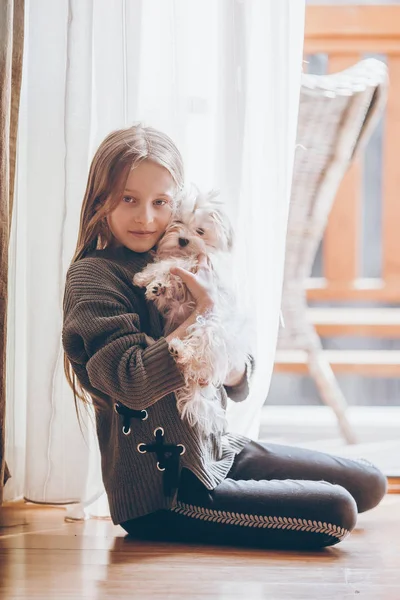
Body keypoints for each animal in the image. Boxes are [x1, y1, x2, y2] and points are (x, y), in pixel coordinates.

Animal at [134, 191, 253, 436]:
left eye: (200, 231)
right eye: (178, 222)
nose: (183, 240)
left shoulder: (194, 264)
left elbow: (172, 264)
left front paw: (150, 278)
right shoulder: (178, 299)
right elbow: (167, 276)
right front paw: (153, 283)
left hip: (208, 327)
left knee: (194, 354)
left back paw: (180, 350)